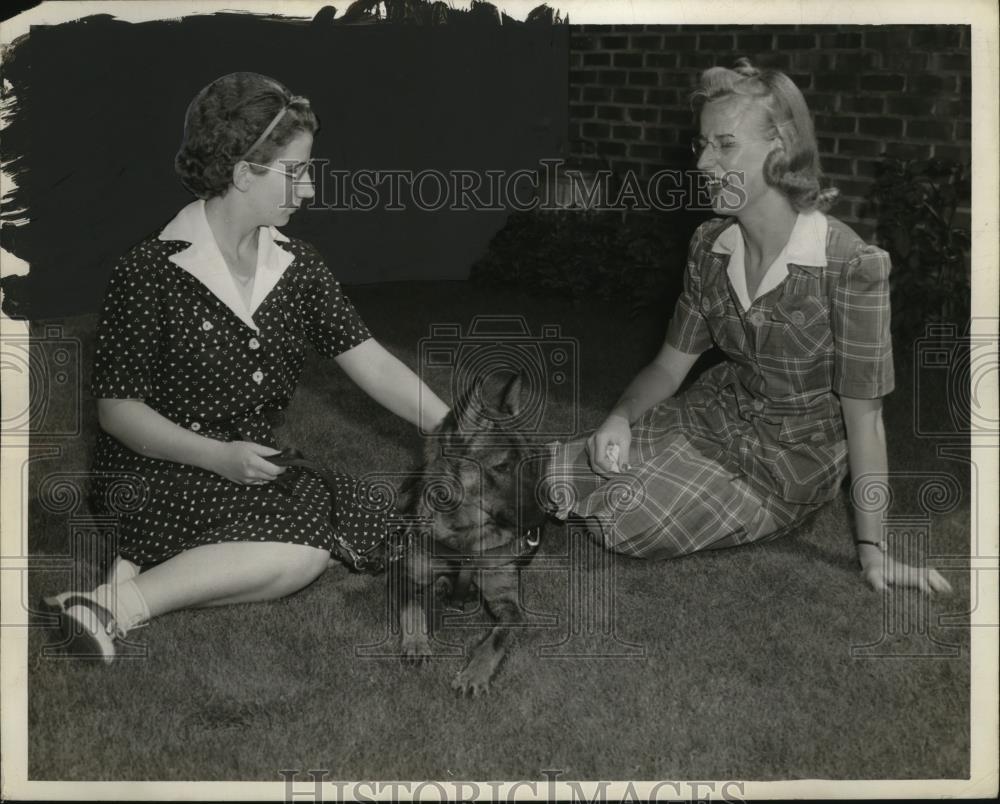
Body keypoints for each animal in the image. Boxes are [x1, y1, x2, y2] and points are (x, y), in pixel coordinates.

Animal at [392, 370, 548, 692]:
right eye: (502, 467)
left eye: (531, 460)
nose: (544, 518)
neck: (467, 534)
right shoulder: (404, 576)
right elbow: (412, 608)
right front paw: (416, 643)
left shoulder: (510, 606)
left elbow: (497, 638)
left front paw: (475, 673)